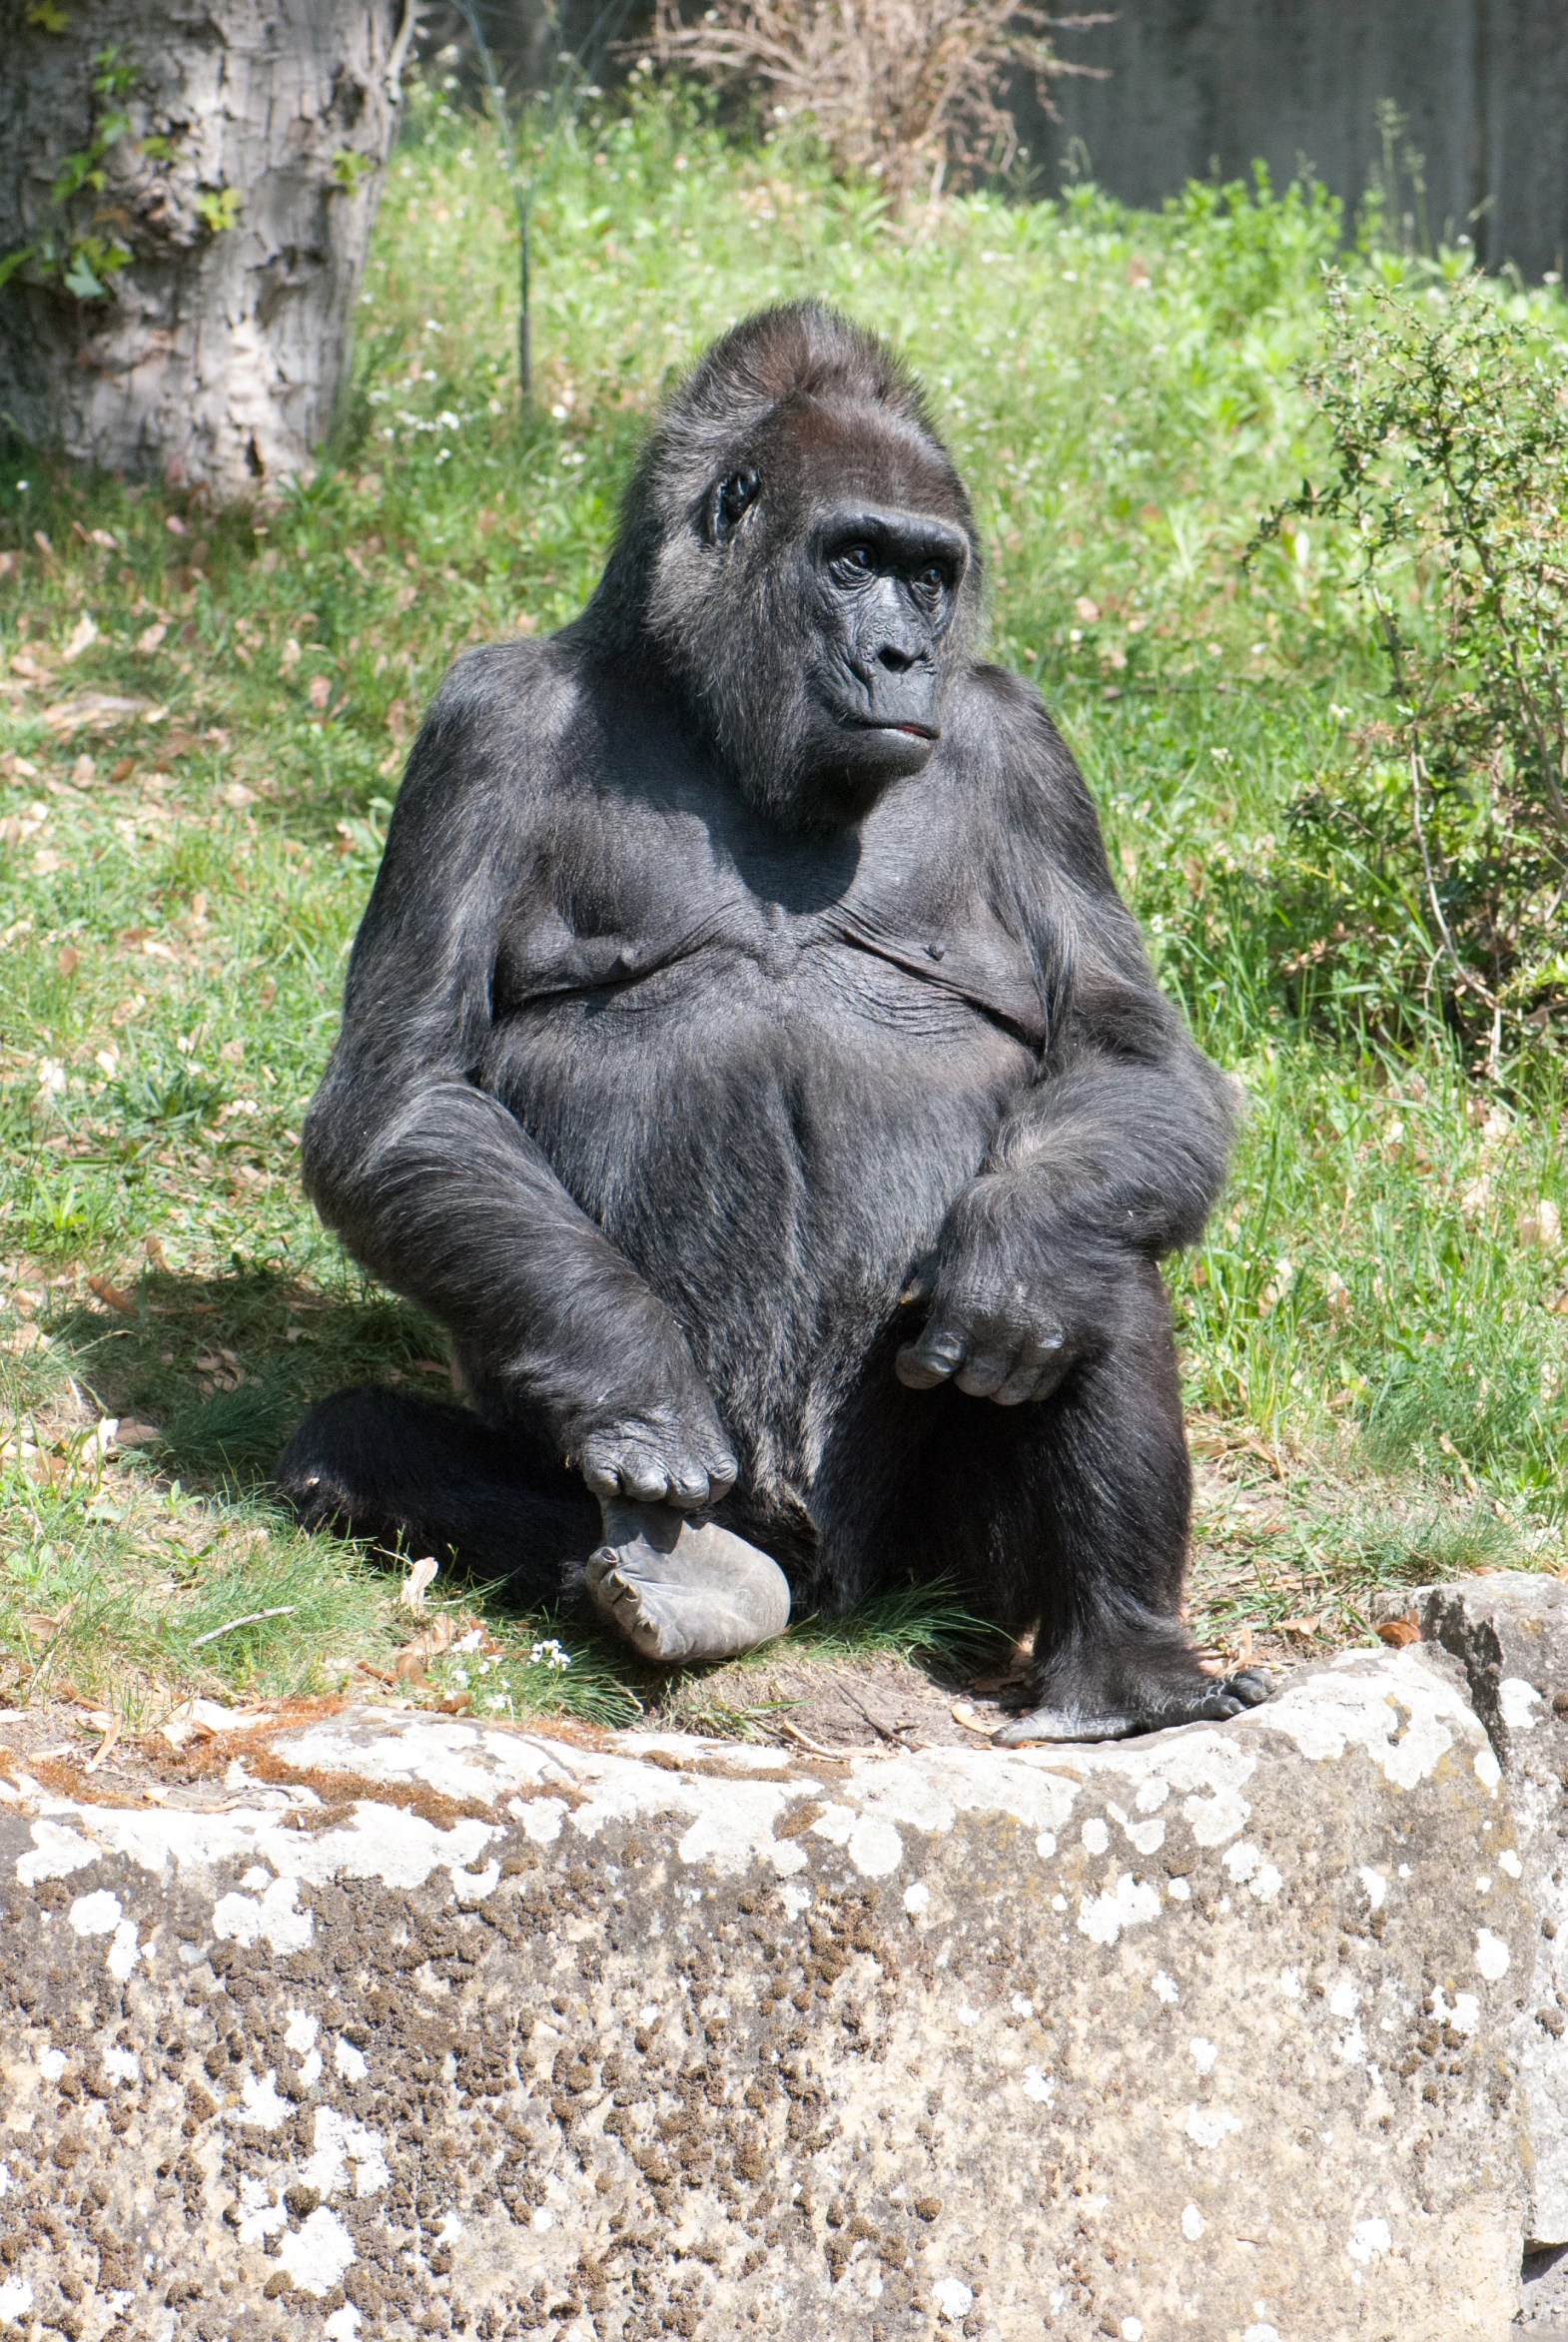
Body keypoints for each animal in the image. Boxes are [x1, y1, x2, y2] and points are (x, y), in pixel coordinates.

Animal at [276, 297, 1272, 1742]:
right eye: (852, 559)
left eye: (929, 575)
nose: (905, 655)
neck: (700, 700)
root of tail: (837, 1592)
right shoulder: (481, 723)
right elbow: (401, 1097)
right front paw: (634, 1375)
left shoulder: (1028, 747)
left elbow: (1125, 1064)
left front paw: (1021, 1250)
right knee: (349, 1440)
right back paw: (688, 1580)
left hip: (946, 1573)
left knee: (1091, 1254)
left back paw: (1123, 1667)